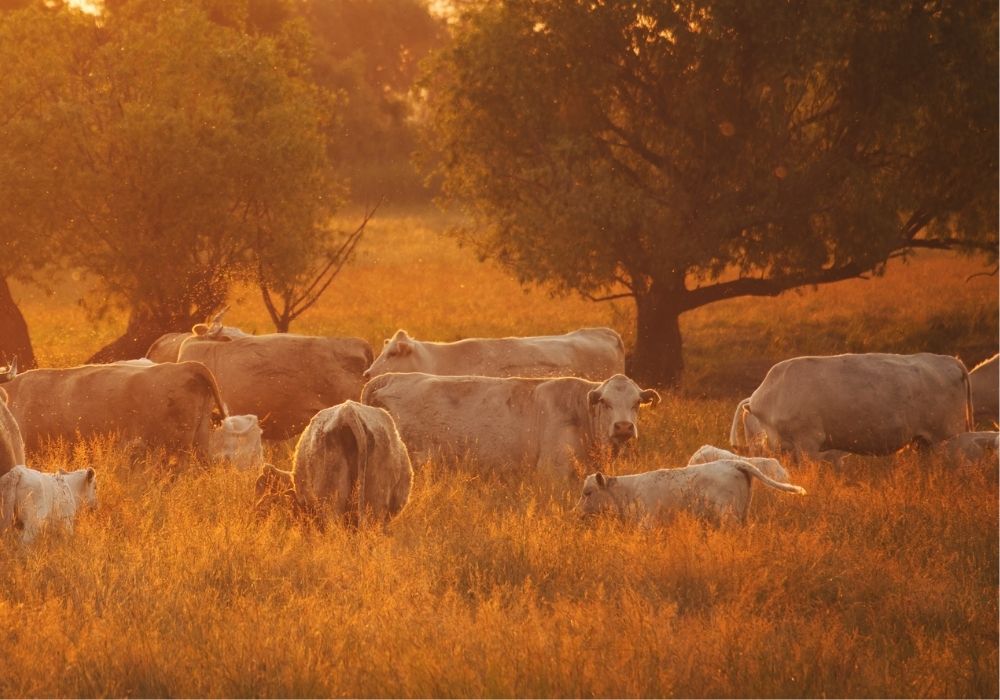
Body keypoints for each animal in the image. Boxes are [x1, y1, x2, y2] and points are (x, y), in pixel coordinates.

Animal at [576, 460, 806, 527]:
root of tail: (733, 462)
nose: (577, 513)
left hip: (728, 514)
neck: (628, 491)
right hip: (743, 513)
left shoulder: (647, 522)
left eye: (588, 492)